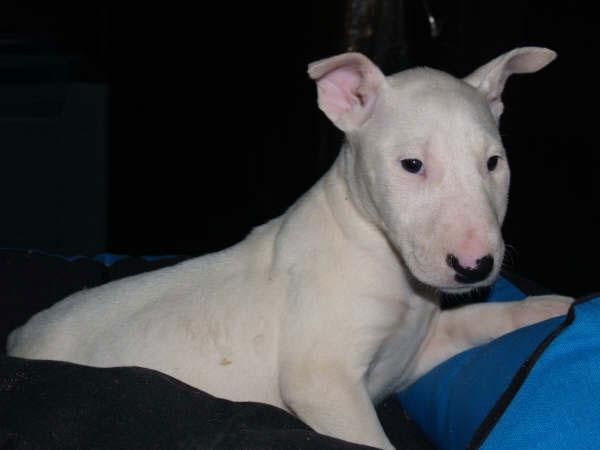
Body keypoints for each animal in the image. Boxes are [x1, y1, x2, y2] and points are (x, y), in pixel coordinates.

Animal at [8, 46, 572, 450]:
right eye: (411, 165)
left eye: (494, 163)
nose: (474, 266)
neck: (376, 250)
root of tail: (15, 344)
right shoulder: (322, 383)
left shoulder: (413, 352)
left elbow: (475, 321)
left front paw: (552, 308)